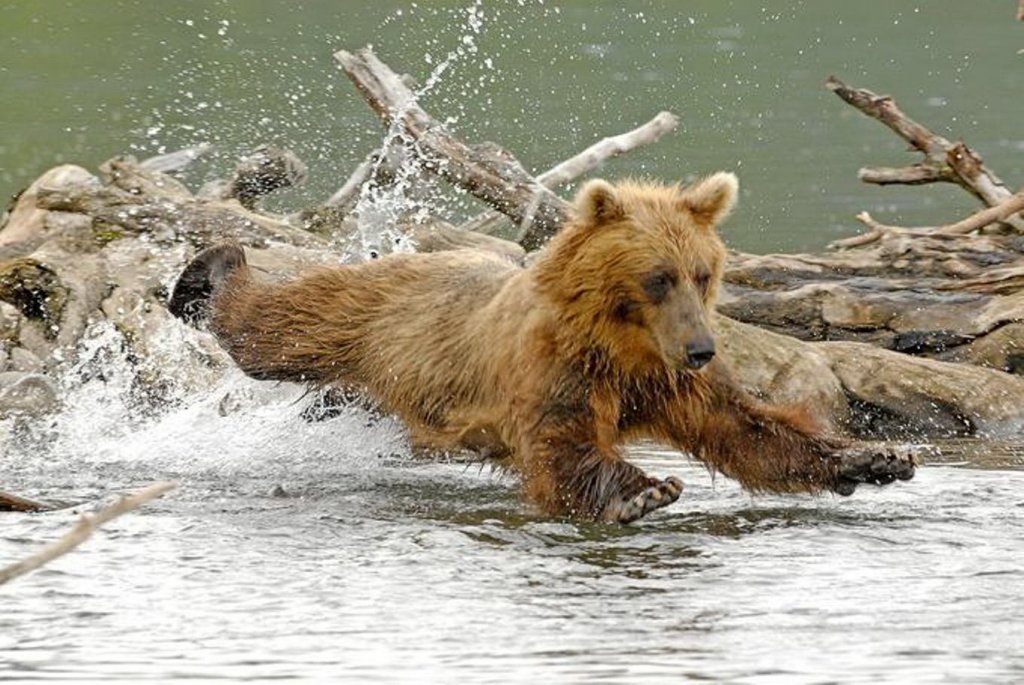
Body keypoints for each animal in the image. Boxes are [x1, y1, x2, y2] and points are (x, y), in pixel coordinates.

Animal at [172, 174, 917, 520]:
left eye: (704, 272)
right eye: (659, 276)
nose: (702, 348)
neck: (622, 346)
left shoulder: (669, 381)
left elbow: (748, 428)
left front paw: (877, 456)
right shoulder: (556, 365)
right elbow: (562, 445)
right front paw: (645, 490)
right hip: (367, 315)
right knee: (271, 331)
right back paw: (206, 270)